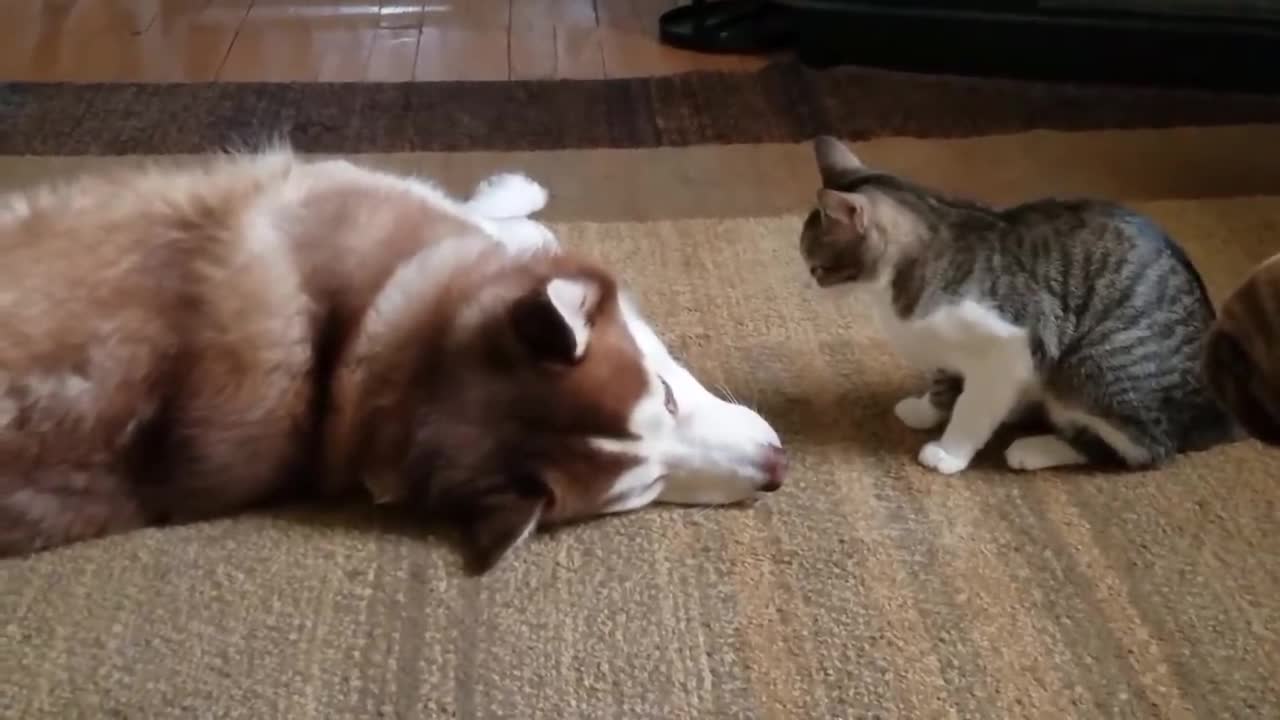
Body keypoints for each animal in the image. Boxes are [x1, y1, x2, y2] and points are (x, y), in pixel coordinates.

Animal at [798, 135, 1239, 474]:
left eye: (817, 266)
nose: (809, 282)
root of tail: (1216, 413)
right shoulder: (947, 350)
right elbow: (942, 382)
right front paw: (926, 410)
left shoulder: (1010, 347)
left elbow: (972, 409)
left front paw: (949, 451)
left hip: (1092, 370)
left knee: (1143, 449)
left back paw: (1035, 447)